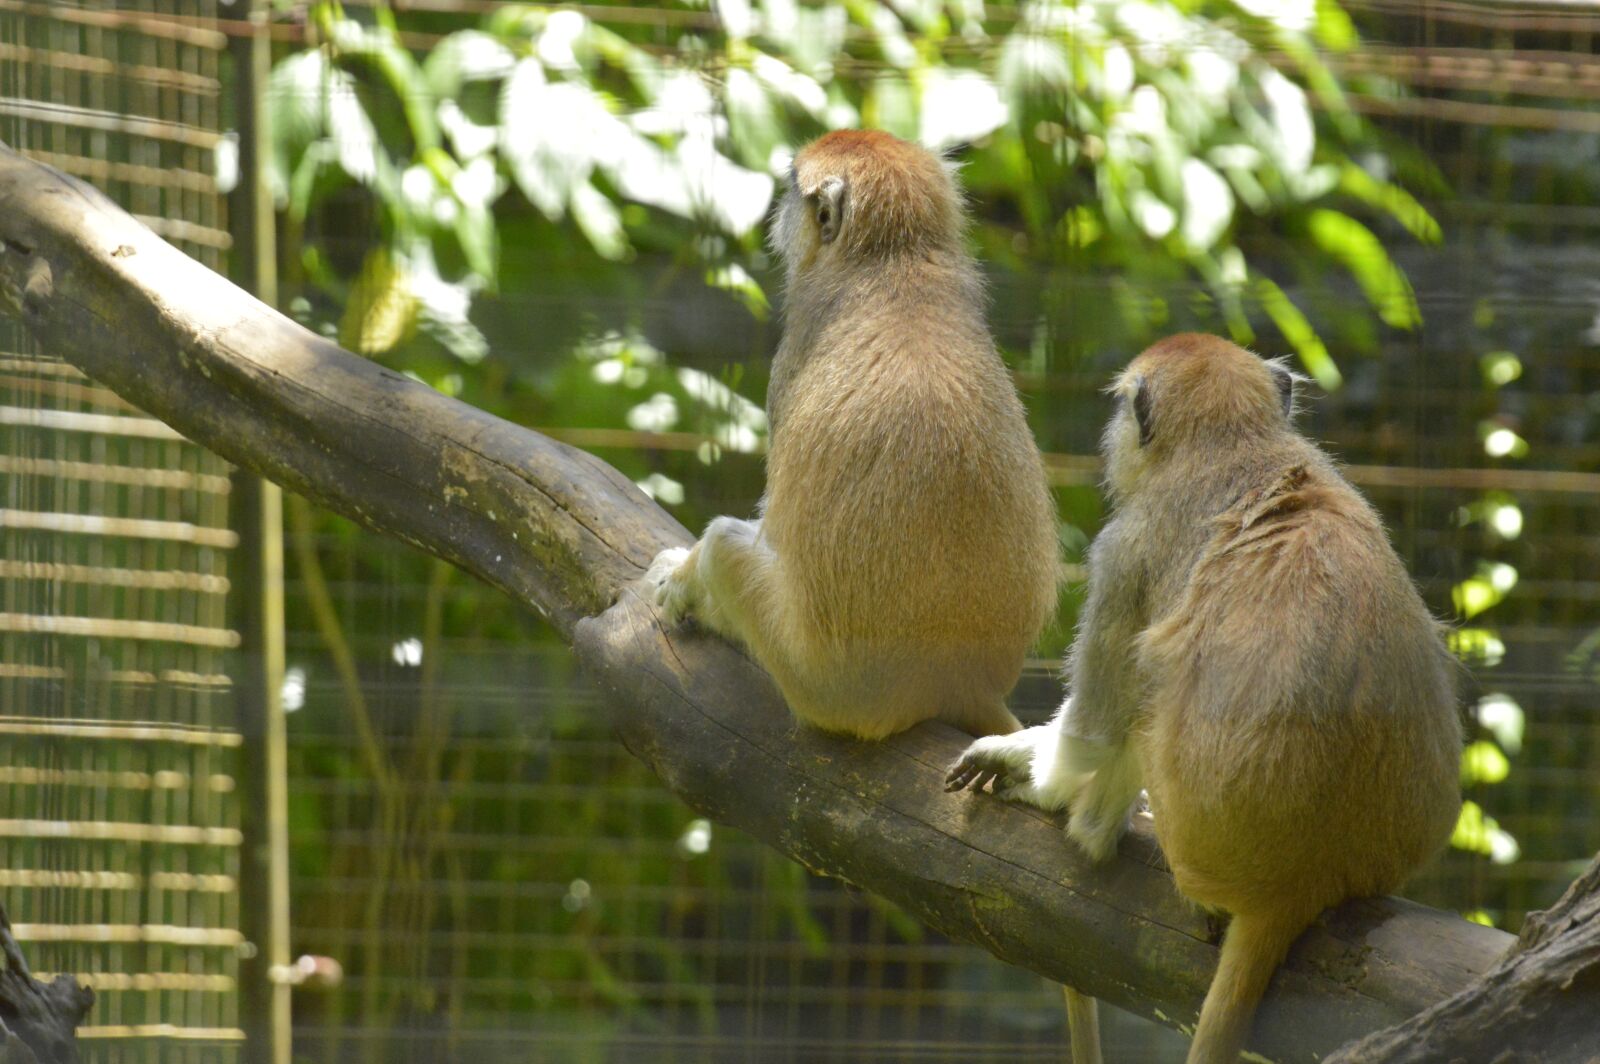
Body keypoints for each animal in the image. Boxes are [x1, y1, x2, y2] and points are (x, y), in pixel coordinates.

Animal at [643, 129, 1061, 743]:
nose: (776, 206)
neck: (893, 257)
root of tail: (959, 680)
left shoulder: (798, 335)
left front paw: (679, 577)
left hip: (822, 685)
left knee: (726, 546)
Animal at [945, 333, 1463, 1064]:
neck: (1236, 444)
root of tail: (1307, 876)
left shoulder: (1123, 548)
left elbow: (1094, 731)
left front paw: (1028, 765)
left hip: (1196, 840)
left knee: (1143, 694)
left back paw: (1088, 824)